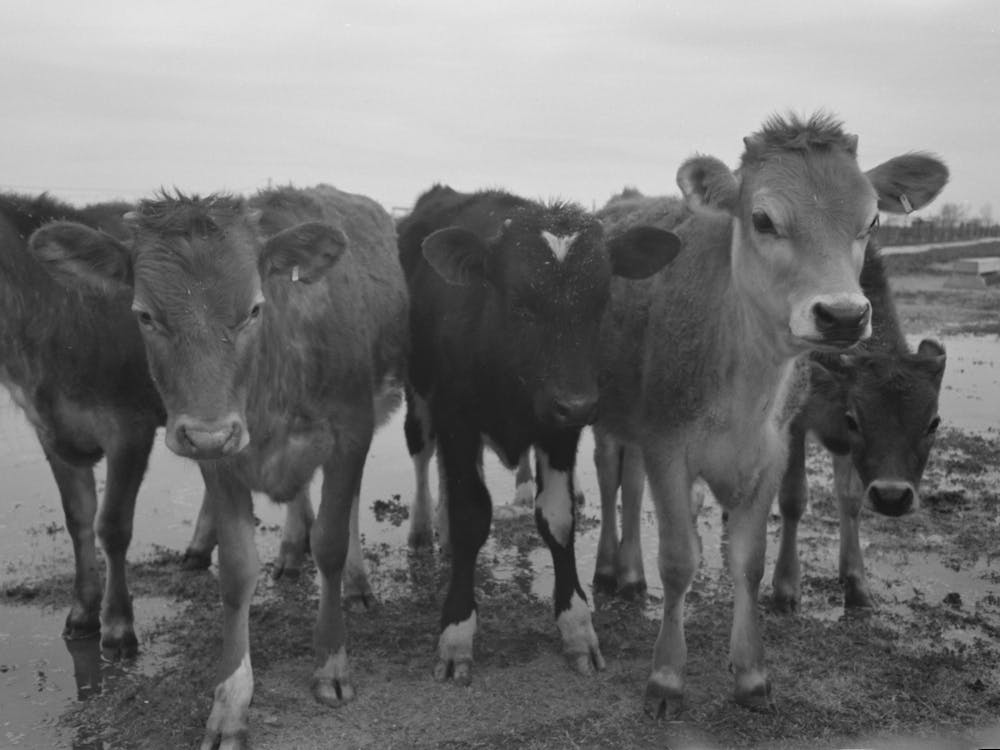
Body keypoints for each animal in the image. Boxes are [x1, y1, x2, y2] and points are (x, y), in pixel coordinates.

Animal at [29, 184, 408, 750]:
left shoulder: (351, 431)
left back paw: (357, 584)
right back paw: (290, 554)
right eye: (144, 315)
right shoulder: (224, 461)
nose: (207, 432)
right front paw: (230, 704)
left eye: (253, 309)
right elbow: (236, 573)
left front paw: (332, 664)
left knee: (351, 508)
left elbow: (332, 543)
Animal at [397, 184, 681, 684]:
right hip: (420, 396)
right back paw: (423, 530)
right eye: (519, 301)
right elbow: (471, 515)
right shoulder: (457, 418)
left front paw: (577, 626)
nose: (579, 403)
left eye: (601, 301)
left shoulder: (559, 431)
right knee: (423, 454)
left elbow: (558, 519)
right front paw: (456, 631)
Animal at [591, 112, 949, 718]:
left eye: (872, 219)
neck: (742, 388)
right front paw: (666, 676)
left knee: (630, 482)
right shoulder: (667, 443)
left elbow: (750, 559)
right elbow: (678, 559)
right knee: (612, 479)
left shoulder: (772, 447)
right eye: (762, 218)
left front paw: (752, 674)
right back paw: (613, 571)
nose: (842, 315)